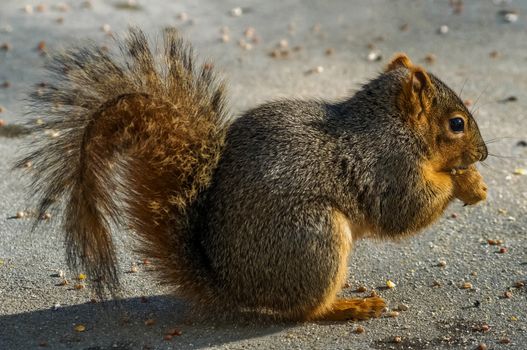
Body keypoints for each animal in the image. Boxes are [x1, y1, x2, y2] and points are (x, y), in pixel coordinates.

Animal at [17, 28, 490, 322]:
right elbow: (405, 211)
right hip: (314, 238)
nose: (484, 153)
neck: (391, 126)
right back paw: (346, 308)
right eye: (456, 124)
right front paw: (465, 181)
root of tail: (232, 287)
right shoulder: (387, 166)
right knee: (304, 310)